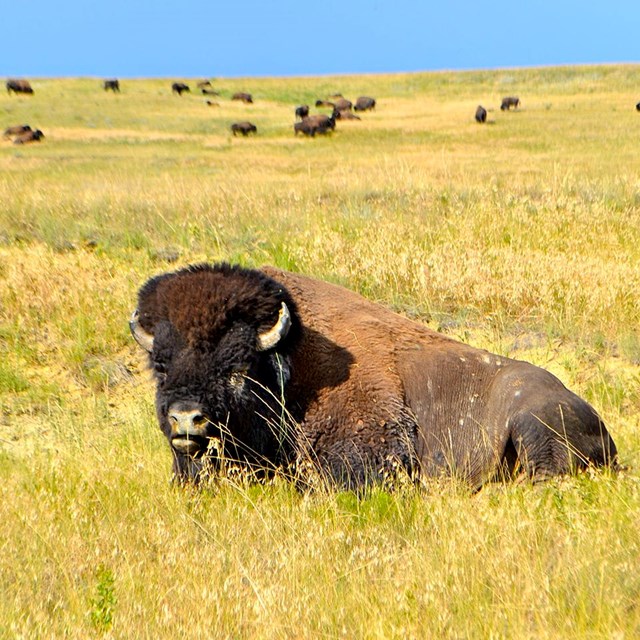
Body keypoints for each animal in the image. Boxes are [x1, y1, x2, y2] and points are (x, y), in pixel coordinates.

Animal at [131, 262, 620, 488]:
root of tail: (602, 426)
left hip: (533, 423)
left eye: (238, 367)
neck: (291, 363)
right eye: (161, 365)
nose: (186, 419)